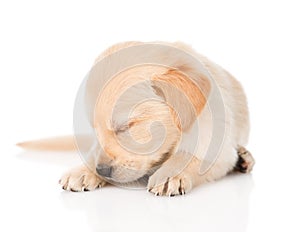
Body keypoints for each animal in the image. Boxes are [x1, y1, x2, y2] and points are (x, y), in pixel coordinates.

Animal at [19, 41, 254, 196]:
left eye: (124, 127)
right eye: (95, 130)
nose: (101, 171)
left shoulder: (219, 148)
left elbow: (193, 157)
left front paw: (172, 173)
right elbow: (93, 152)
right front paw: (84, 170)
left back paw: (245, 158)